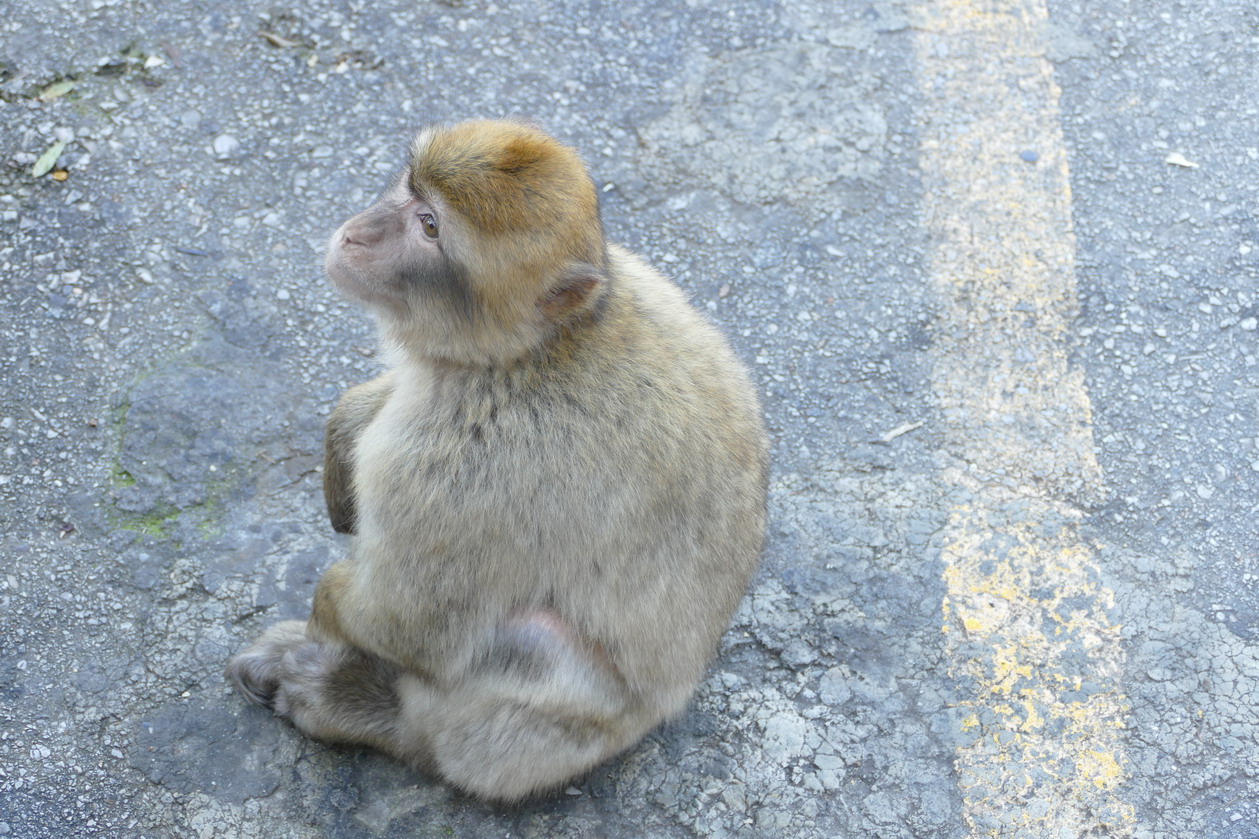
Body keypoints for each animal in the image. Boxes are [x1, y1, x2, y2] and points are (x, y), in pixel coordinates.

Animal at [231, 117, 770, 796]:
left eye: (429, 227)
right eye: (409, 190)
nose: (356, 233)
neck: (527, 352)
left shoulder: (460, 467)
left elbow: (408, 622)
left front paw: (329, 619)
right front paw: (347, 424)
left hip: (577, 734)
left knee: (528, 648)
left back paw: (368, 709)